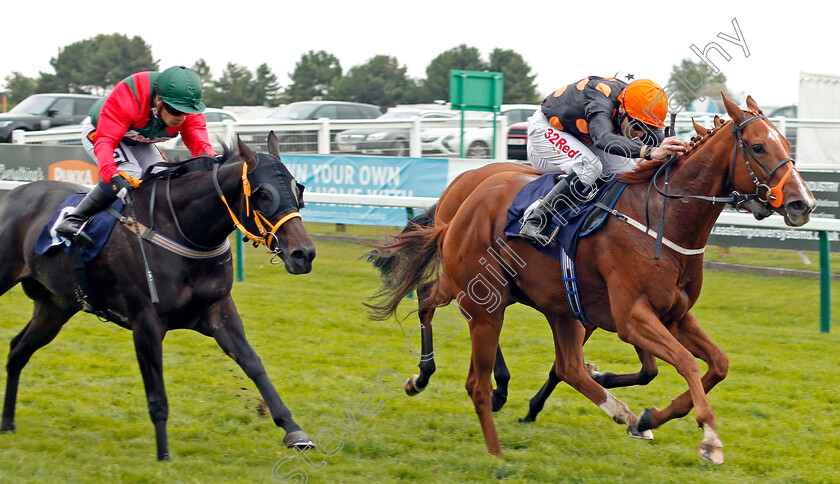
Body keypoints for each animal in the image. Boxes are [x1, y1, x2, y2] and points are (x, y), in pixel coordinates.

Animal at [0, 133, 316, 462]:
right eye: (264, 194)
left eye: (298, 188)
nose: (303, 254)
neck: (180, 229)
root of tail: (12, 196)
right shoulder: (145, 322)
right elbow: (156, 394)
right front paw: (163, 455)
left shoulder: (219, 310)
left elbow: (253, 363)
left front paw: (293, 430)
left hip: (55, 307)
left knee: (17, 350)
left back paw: (8, 423)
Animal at [368, 94, 812, 466]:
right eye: (758, 147)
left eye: (787, 147)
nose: (802, 203)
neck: (662, 219)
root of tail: (465, 196)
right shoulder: (632, 317)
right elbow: (685, 362)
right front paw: (709, 438)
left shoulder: (672, 315)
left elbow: (716, 364)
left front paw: (649, 417)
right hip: (480, 290)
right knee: (431, 301)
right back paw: (446, 389)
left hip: (544, 304)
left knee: (561, 363)